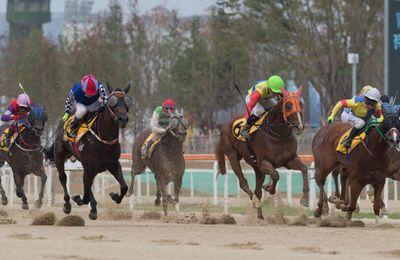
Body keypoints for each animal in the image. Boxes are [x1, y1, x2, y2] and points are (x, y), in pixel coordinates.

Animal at [45, 83, 133, 219]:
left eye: (127, 102)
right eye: (112, 102)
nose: (122, 119)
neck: (103, 139)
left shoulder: (113, 164)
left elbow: (124, 187)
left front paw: (114, 196)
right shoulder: (90, 166)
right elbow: (85, 196)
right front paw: (77, 199)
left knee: (88, 185)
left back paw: (93, 209)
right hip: (60, 154)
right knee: (63, 177)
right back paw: (67, 204)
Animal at [216, 87, 306, 219]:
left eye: (301, 104)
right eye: (288, 106)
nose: (299, 126)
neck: (277, 133)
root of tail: (224, 126)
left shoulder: (289, 160)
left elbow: (304, 168)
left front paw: (305, 199)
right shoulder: (263, 162)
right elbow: (276, 175)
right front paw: (269, 188)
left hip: (256, 168)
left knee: (257, 190)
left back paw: (260, 217)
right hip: (232, 156)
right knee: (243, 183)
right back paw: (254, 201)